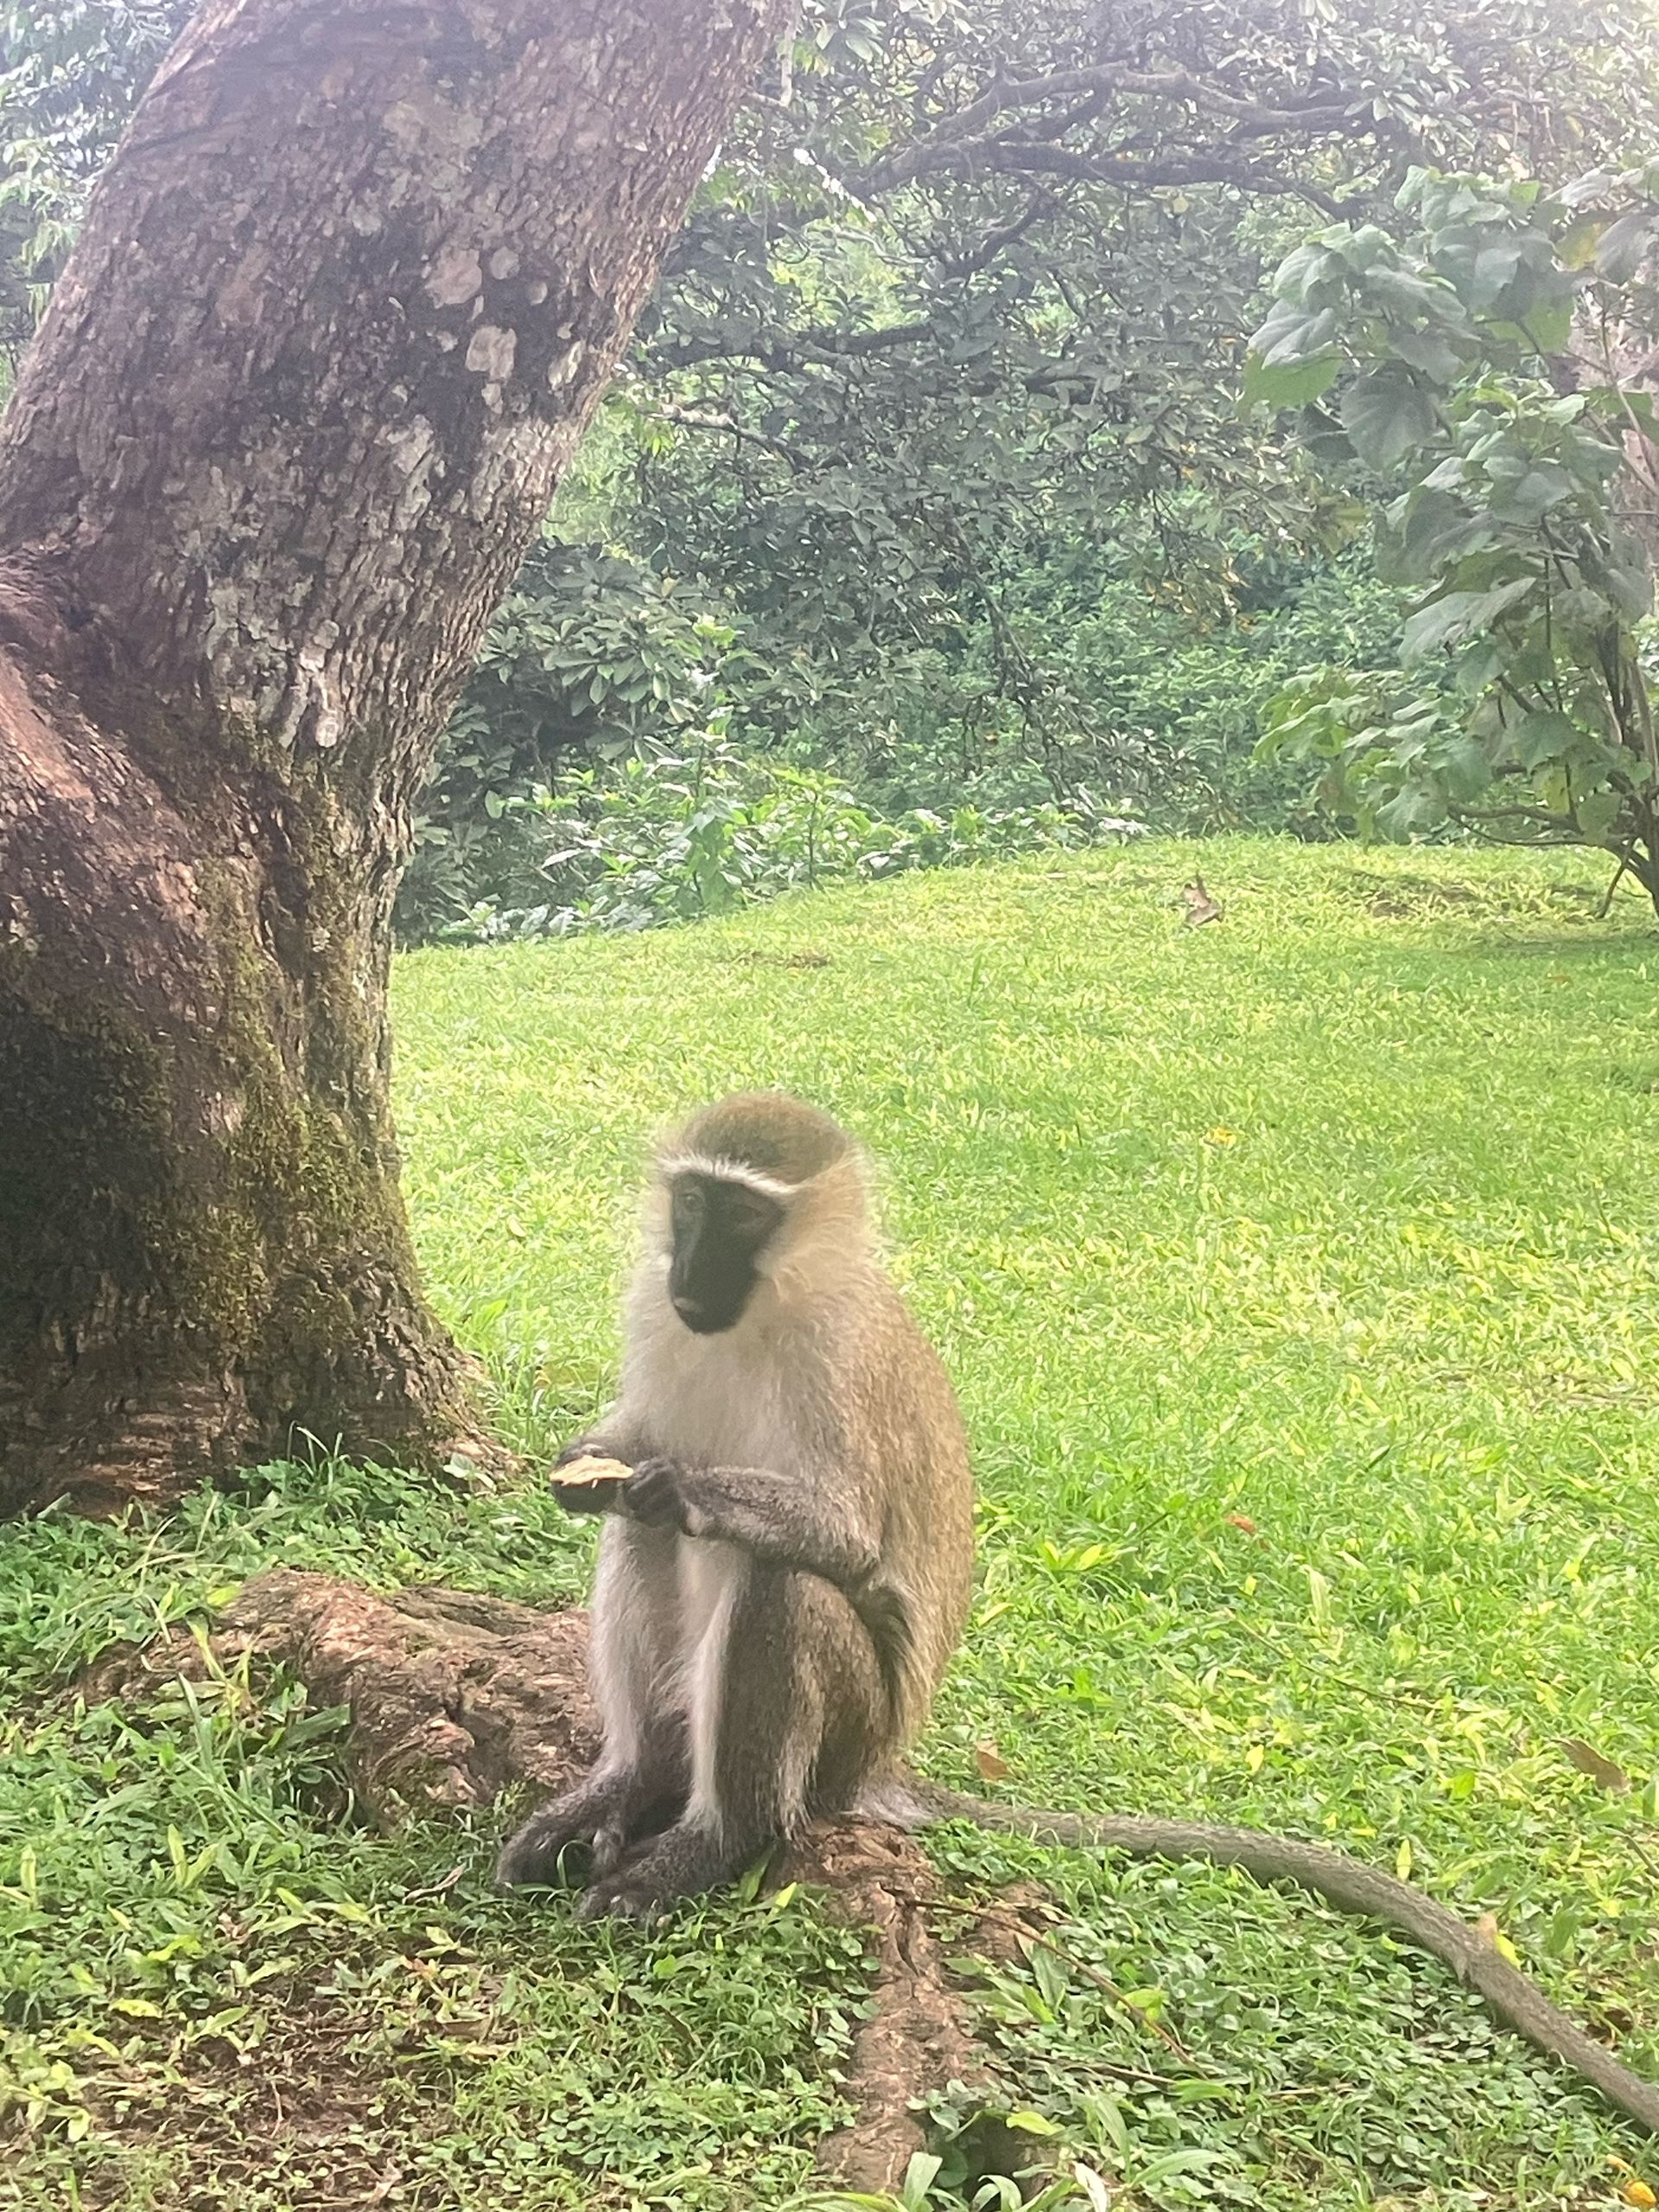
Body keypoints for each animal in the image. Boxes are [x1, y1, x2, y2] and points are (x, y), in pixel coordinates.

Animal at [496, 1091, 1659, 2138]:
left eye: (744, 1217)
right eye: (693, 1202)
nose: (691, 1268)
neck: (762, 1311)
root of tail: (885, 1761)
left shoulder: (836, 1356)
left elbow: (841, 1539)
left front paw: (685, 1487)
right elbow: (633, 1450)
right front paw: (591, 1464)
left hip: (849, 1729)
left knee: (781, 1582)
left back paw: (710, 1837)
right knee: (639, 1542)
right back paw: (633, 1779)